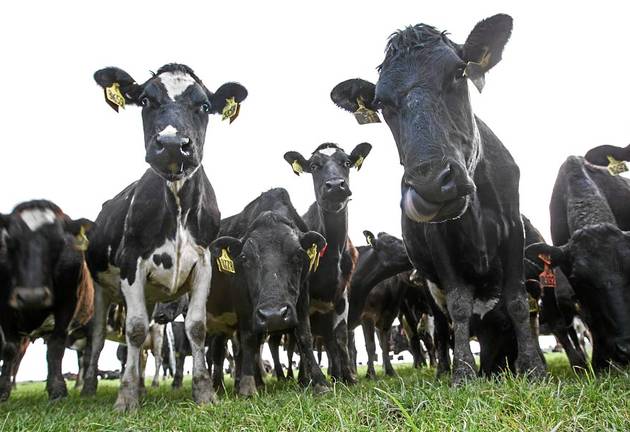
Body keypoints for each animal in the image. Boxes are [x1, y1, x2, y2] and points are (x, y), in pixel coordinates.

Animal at [0, 201, 95, 400]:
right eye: (10, 241)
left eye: (60, 242)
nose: (32, 296)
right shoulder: (3, 306)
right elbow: (9, 349)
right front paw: (2, 390)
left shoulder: (68, 303)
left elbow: (56, 346)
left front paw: (57, 389)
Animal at [79, 62, 247, 410]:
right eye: (145, 100)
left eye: (204, 106)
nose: (171, 143)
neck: (178, 205)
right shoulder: (131, 264)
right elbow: (134, 330)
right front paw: (126, 397)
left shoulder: (204, 264)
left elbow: (196, 327)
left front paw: (204, 392)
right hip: (102, 288)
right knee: (99, 338)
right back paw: (90, 387)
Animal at [284, 143, 372, 384]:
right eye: (314, 166)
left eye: (347, 163)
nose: (335, 185)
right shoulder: (301, 292)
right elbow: (304, 335)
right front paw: (318, 381)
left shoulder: (342, 294)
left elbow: (340, 337)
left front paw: (349, 378)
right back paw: (305, 379)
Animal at [330, 15, 548, 384]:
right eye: (381, 103)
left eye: (459, 72)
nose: (432, 183)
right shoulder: (439, 242)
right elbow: (458, 306)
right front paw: (463, 371)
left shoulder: (513, 229)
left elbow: (518, 301)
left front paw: (532, 366)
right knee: (443, 327)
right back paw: (447, 367)